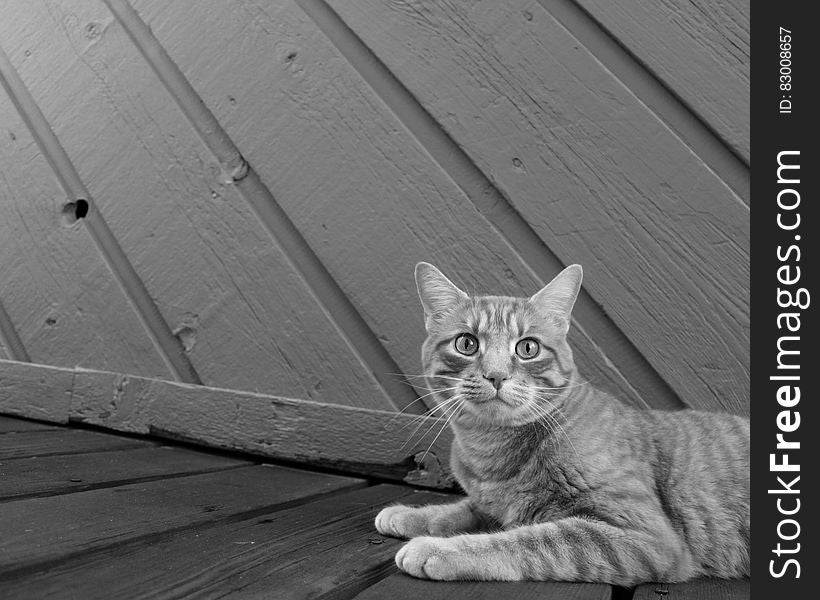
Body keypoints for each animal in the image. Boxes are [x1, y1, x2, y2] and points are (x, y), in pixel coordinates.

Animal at [376, 260, 748, 584]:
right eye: (466, 343)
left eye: (528, 348)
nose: (496, 375)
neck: (492, 452)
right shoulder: (490, 504)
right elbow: (461, 509)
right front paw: (410, 514)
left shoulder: (644, 537)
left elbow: (526, 541)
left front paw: (438, 549)